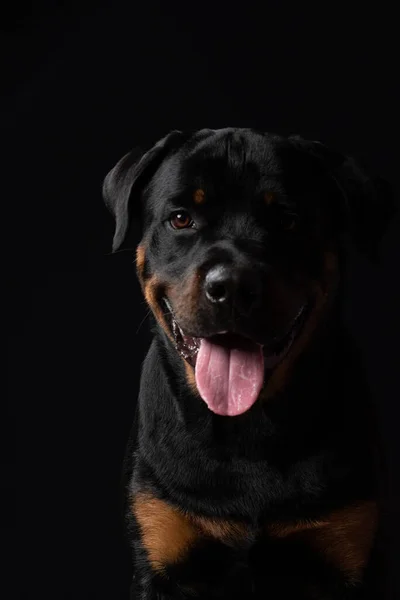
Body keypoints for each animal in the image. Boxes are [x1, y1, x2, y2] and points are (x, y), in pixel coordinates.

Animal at [103, 129, 394, 596]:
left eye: (288, 220)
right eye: (181, 219)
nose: (232, 285)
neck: (246, 432)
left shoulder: (351, 548)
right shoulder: (158, 555)